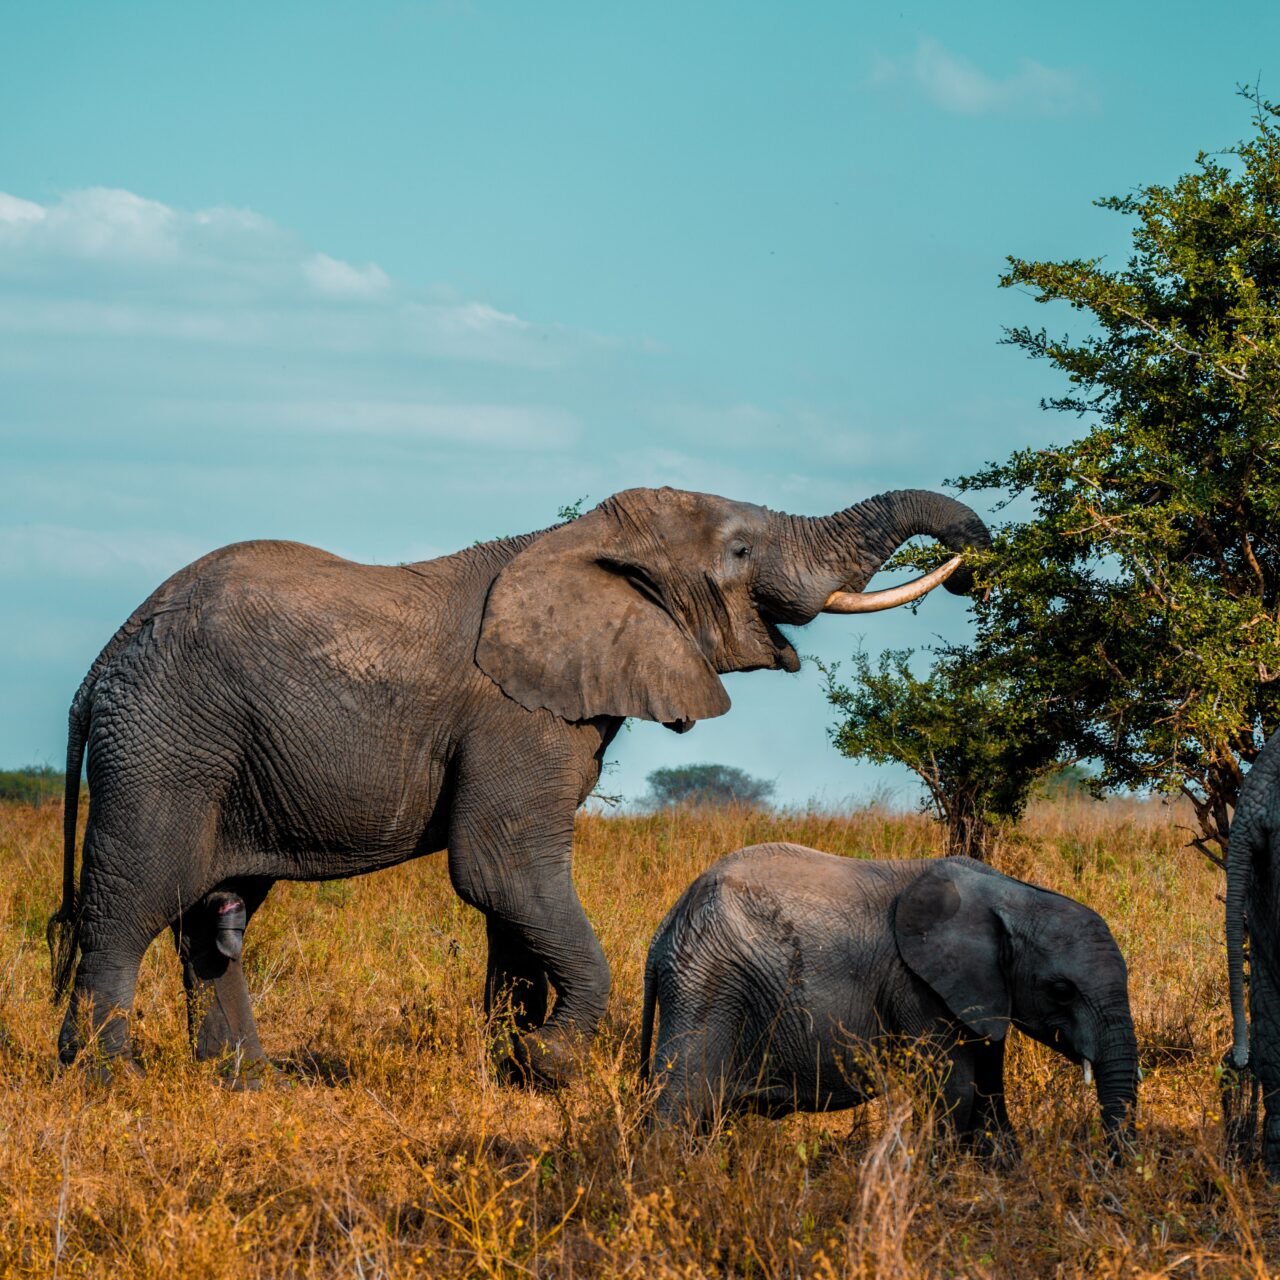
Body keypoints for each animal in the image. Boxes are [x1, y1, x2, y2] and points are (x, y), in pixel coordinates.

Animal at [47, 484, 988, 1086]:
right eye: (741, 550)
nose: (977, 563)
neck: (575, 543)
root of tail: (96, 670)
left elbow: (513, 899)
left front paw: (513, 1068)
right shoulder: (513, 716)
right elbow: (502, 873)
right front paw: (552, 1062)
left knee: (215, 917)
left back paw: (251, 1084)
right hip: (165, 743)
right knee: (132, 903)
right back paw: (105, 1082)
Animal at [640, 844, 1139, 1155]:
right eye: (1061, 991)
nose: (1113, 1165)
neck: (1010, 894)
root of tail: (665, 929)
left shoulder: (983, 992)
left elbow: (988, 1086)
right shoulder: (916, 984)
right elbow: (953, 1086)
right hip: (708, 981)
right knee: (681, 1099)